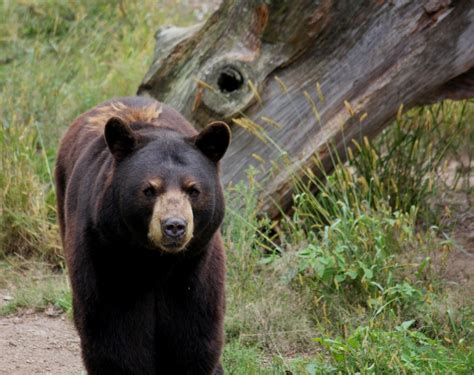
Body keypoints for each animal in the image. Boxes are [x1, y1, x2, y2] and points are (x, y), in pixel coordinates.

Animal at [54, 97, 231, 375]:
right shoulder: (105, 255)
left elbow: (194, 334)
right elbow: (115, 334)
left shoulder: (196, 263)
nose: (174, 226)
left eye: (193, 190)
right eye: (149, 189)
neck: (155, 261)